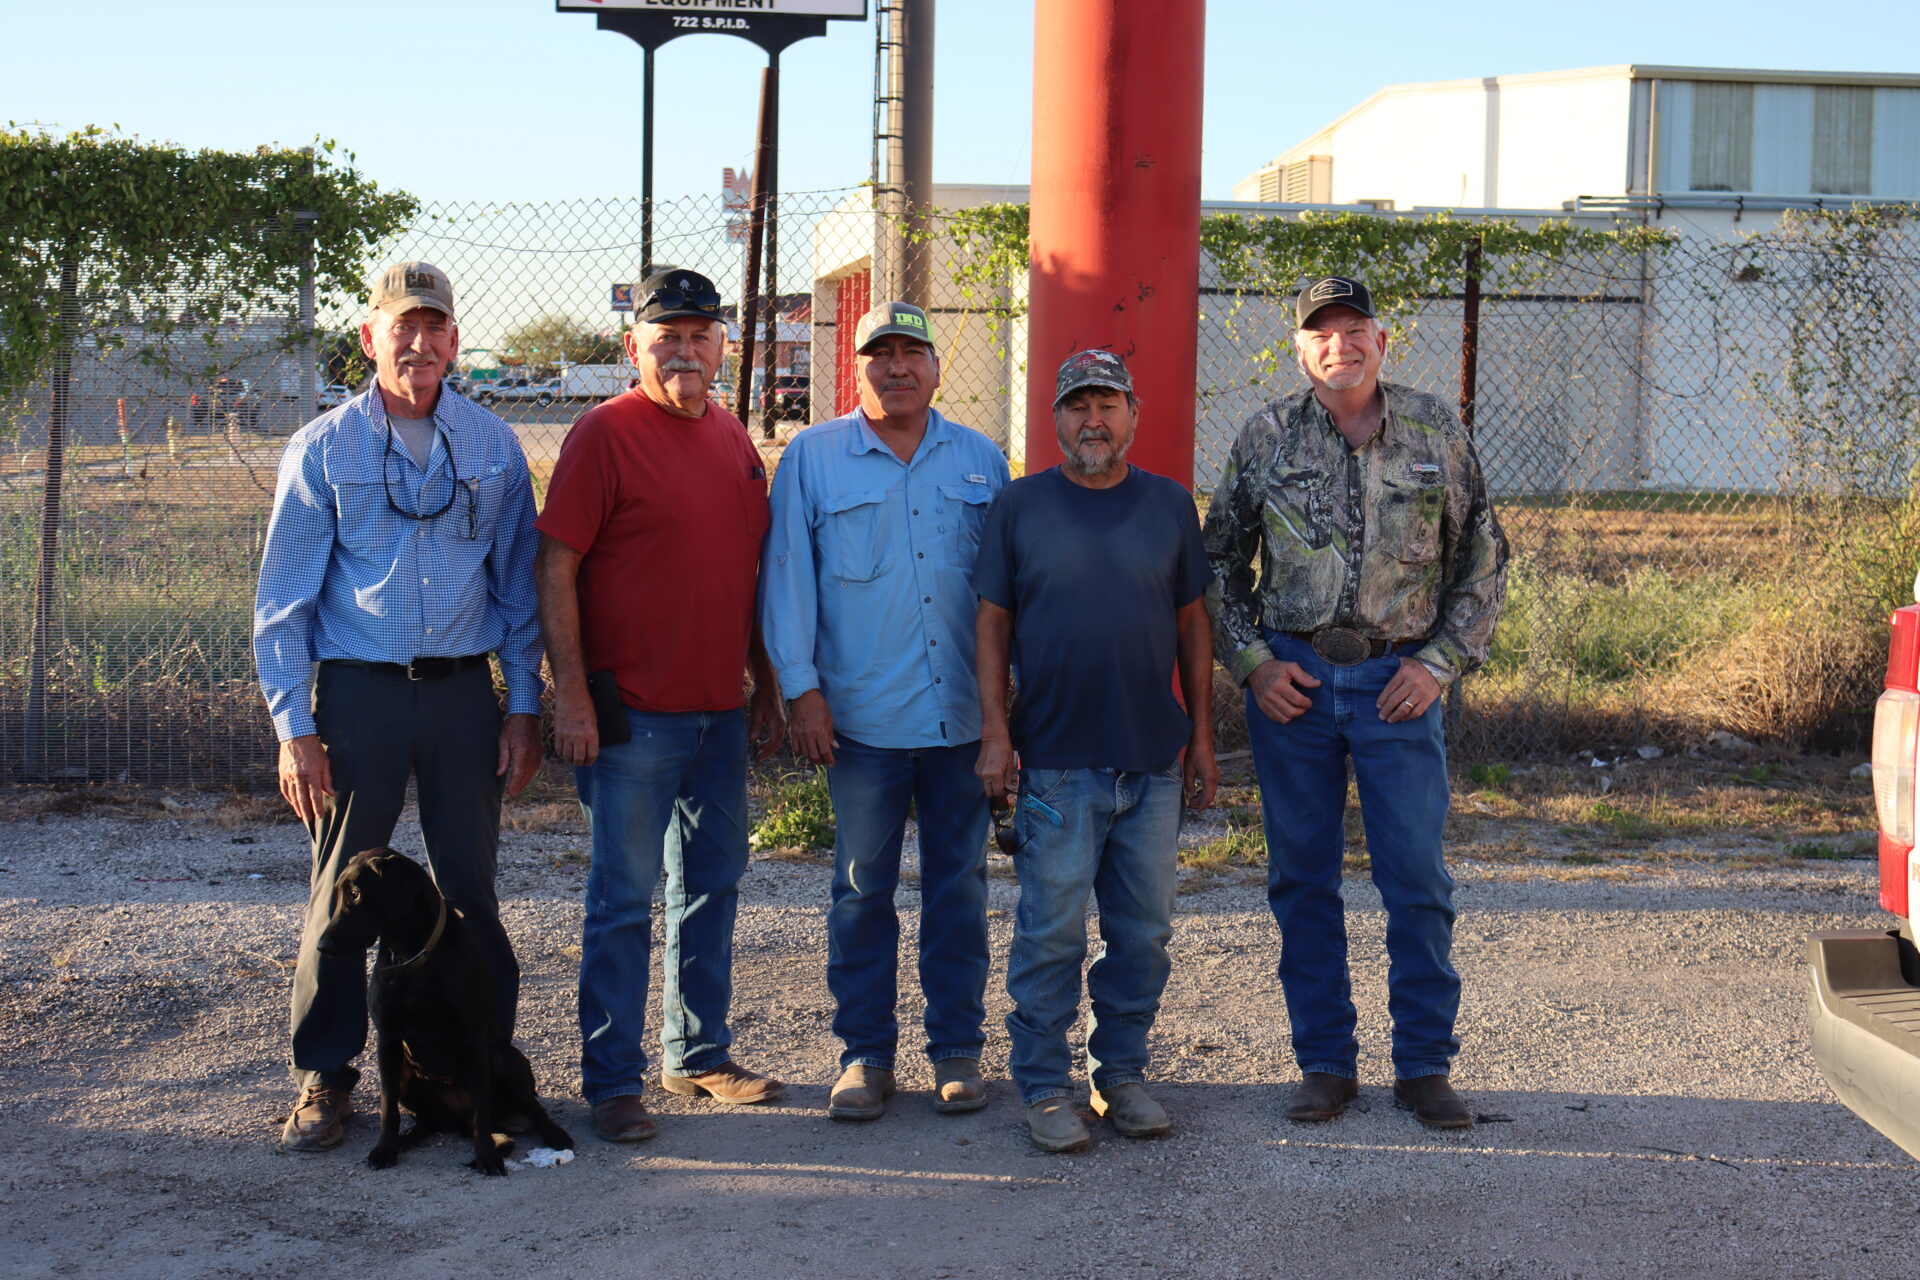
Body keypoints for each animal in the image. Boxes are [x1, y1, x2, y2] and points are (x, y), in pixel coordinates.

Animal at [315, 847, 573, 1175]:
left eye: (356, 894)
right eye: (337, 894)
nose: (322, 946)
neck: (412, 955)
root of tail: (456, 1118)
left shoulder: (474, 1039)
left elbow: (482, 1112)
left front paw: (487, 1156)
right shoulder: (387, 1040)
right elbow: (388, 1109)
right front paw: (385, 1148)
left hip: (505, 1059)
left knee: (527, 1105)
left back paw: (553, 1132)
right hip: (405, 1073)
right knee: (428, 1120)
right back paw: (407, 1138)